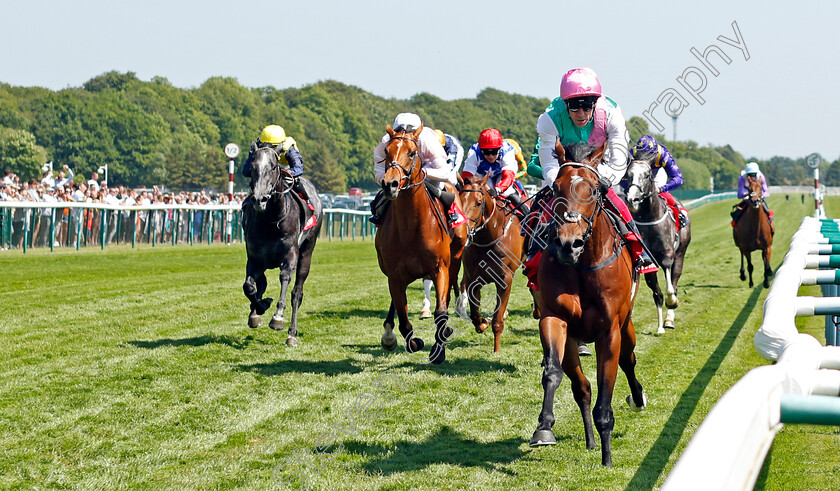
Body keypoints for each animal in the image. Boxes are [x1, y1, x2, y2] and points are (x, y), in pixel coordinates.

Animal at [243, 143, 324, 346]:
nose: (259, 198)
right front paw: (259, 308)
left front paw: (278, 316)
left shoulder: (290, 255)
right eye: (253, 166)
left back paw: (291, 333)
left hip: (307, 251)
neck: (270, 222)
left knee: (297, 293)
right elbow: (249, 287)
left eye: (273, 167)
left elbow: (285, 277)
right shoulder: (255, 259)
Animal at [376, 126, 470, 366]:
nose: (390, 184)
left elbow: (441, 312)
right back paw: (388, 334)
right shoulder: (395, 276)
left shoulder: (440, 268)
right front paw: (413, 342)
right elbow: (403, 318)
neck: (411, 227)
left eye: (412, 153)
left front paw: (439, 349)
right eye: (386, 151)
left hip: (456, 257)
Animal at [456, 177, 520, 354]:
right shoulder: (474, 279)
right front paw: (483, 322)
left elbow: (497, 320)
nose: (463, 231)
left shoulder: (505, 280)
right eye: (459, 200)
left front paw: (496, 350)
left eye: (478, 203)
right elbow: (475, 315)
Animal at [528, 143, 648, 468]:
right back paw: (591, 440)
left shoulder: (611, 331)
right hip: (573, 340)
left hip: (627, 325)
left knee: (629, 360)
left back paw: (637, 398)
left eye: (594, 189)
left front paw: (607, 458)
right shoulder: (554, 319)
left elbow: (606, 392)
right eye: (555, 188)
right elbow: (553, 373)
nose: (569, 243)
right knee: (581, 387)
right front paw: (544, 427)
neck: (582, 265)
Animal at [624, 161, 688, 334]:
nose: (632, 199)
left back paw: (669, 319)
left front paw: (672, 302)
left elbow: (669, 288)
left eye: (647, 175)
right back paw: (660, 326)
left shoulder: (668, 255)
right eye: (628, 174)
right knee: (657, 294)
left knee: (675, 282)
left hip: (681, 254)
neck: (649, 218)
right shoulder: (647, 261)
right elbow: (657, 292)